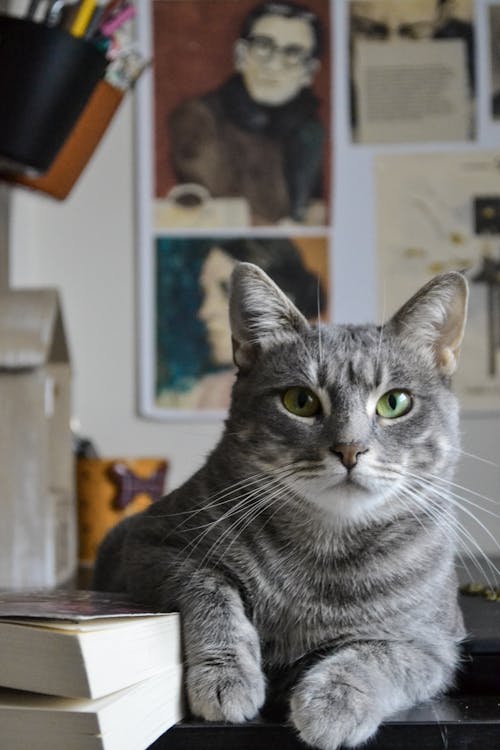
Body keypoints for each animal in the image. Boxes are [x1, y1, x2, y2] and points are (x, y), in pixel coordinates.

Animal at [93, 262, 468, 748]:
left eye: (394, 402)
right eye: (300, 401)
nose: (350, 449)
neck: (325, 550)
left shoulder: (434, 645)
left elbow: (377, 656)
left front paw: (334, 700)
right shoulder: (152, 546)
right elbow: (212, 593)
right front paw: (227, 677)